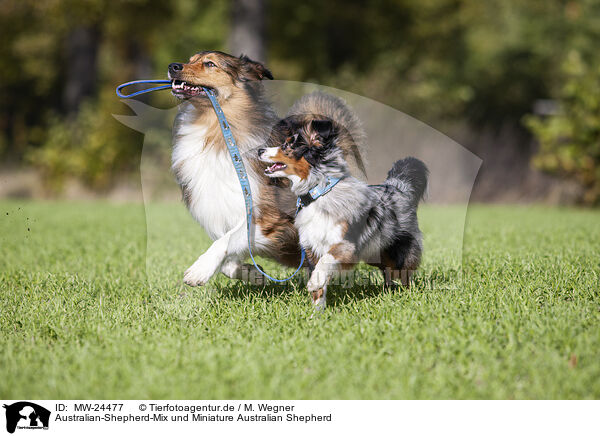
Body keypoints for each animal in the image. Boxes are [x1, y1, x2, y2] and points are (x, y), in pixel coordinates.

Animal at [168, 52, 366, 286]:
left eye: (210, 63)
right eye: (191, 59)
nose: (173, 66)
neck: (215, 131)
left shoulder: (269, 217)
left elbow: (226, 241)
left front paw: (199, 270)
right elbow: (228, 261)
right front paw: (253, 274)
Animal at [258, 119, 426, 308]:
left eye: (287, 145)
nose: (259, 150)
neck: (319, 192)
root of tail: (397, 187)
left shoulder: (346, 245)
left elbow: (327, 259)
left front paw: (315, 282)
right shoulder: (311, 248)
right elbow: (318, 283)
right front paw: (317, 311)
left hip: (398, 253)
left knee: (403, 274)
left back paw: (407, 295)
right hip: (374, 253)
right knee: (388, 272)